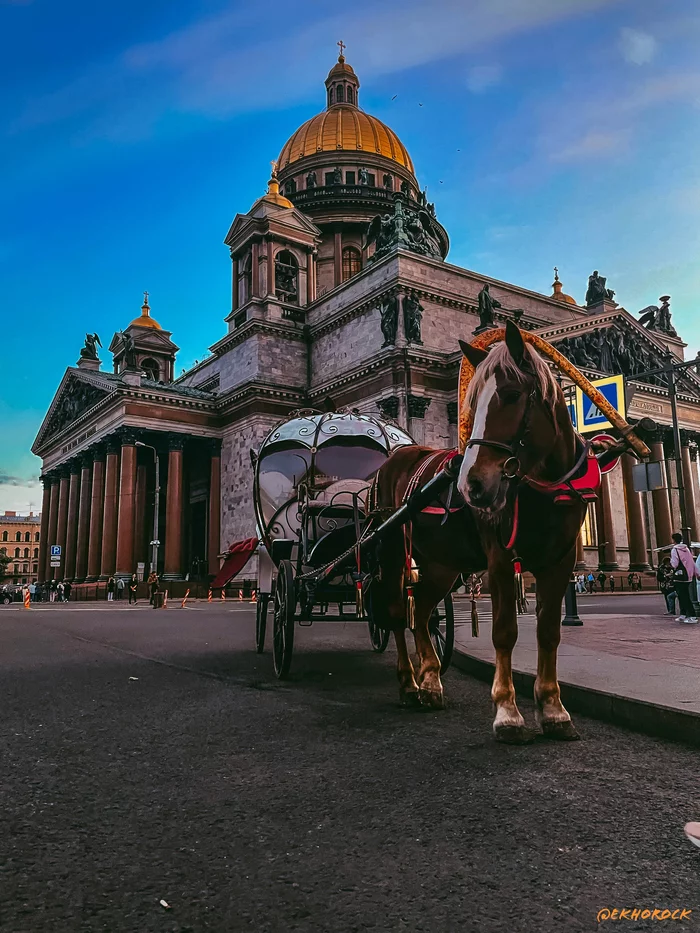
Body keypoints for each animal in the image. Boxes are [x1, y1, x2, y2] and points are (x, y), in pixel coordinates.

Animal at [374, 322, 588, 744]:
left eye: (511, 394)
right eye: (472, 402)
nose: (472, 485)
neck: (542, 487)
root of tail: (397, 455)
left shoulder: (561, 561)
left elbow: (549, 632)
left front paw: (554, 710)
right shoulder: (500, 559)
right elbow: (504, 632)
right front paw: (508, 713)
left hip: (441, 565)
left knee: (422, 613)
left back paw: (430, 683)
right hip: (391, 555)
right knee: (396, 613)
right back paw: (409, 683)